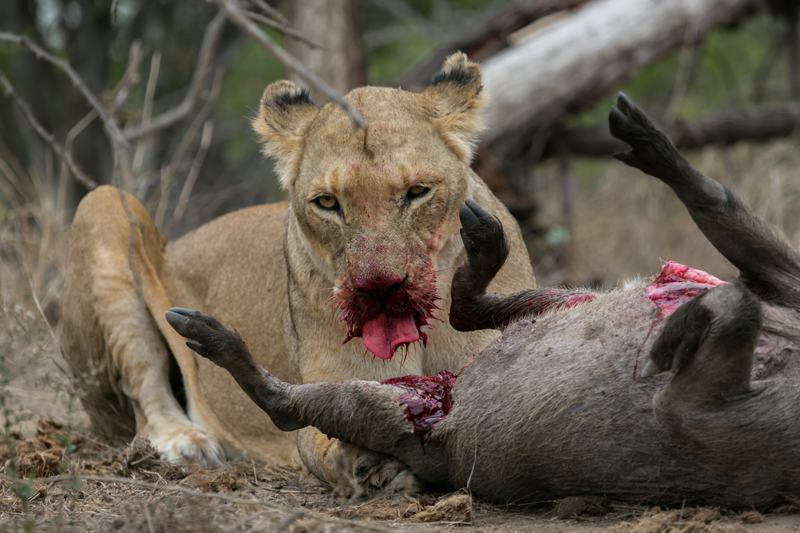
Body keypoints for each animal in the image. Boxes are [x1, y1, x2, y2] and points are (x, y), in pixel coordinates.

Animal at [62, 52, 536, 493]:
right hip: (104, 202)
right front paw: (370, 459)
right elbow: (328, 428)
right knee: (144, 390)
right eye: (327, 203)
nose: (380, 290)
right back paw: (186, 442)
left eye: (418, 192)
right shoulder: (329, 400)